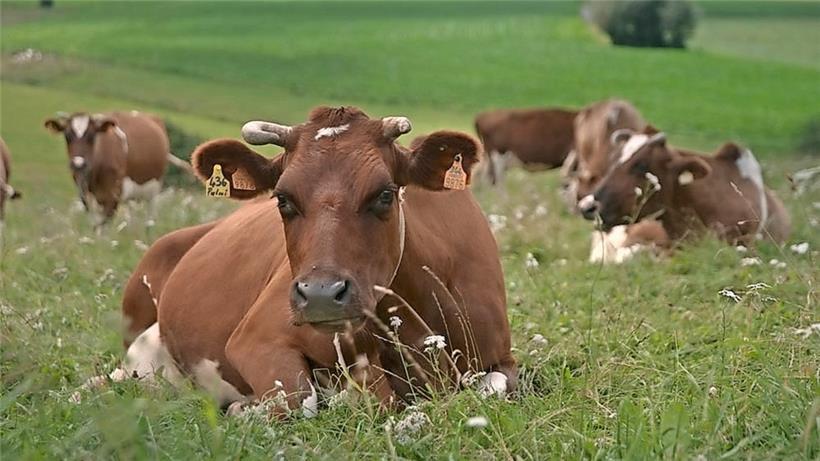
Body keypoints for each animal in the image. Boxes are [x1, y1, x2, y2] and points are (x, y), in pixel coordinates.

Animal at [44, 111, 179, 227]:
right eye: (67, 136)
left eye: (92, 136)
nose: (78, 164)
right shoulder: (86, 195)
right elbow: (95, 225)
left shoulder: (113, 196)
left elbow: (104, 226)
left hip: (154, 190)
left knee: (149, 220)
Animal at [117, 106, 516, 415]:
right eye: (282, 199)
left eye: (385, 194)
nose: (321, 294)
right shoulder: (256, 337)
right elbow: (301, 401)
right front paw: (247, 410)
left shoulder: (502, 358)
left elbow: (495, 386)